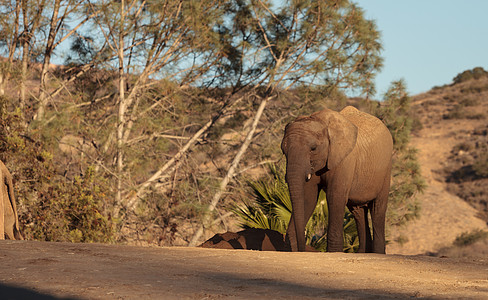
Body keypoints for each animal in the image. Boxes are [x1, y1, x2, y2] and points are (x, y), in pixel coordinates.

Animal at [282, 105, 392, 253]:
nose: (301, 249)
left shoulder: (345, 161)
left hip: (386, 170)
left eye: (313, 148)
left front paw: (334, 252)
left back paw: (377, 254)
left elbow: (335, 197)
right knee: (358, 211)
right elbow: (308, 199)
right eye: (283, 150)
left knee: (377, 209)